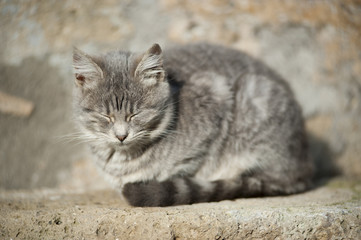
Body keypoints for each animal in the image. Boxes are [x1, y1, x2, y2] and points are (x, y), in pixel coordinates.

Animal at [72, 42, 312, 206]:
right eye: (106, 116)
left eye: (135, 114)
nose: (121, 136)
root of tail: (303, 164)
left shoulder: (215, 94)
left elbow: (193, 165)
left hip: (256, 96)